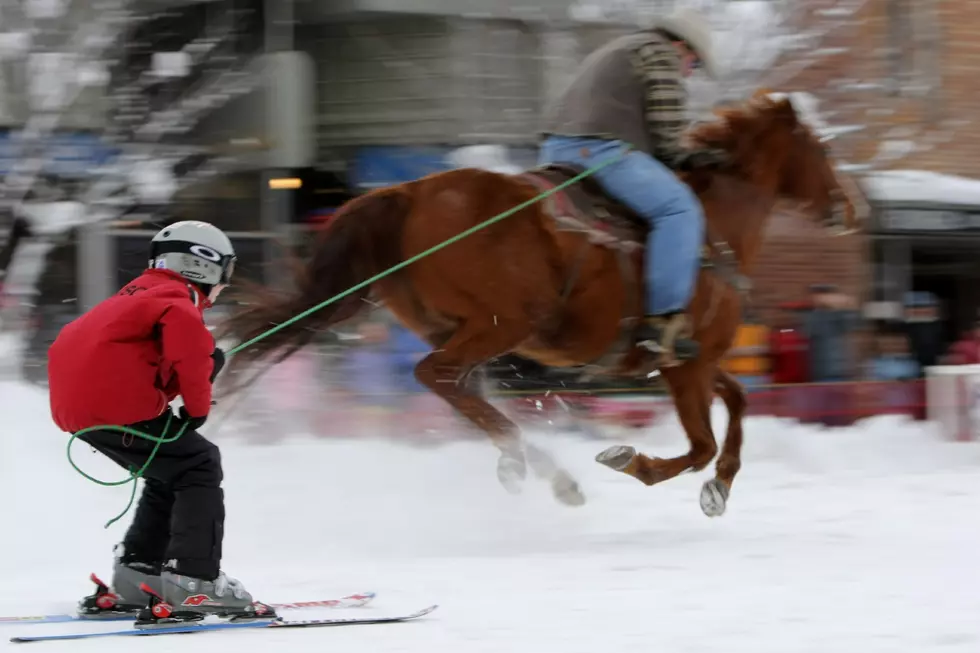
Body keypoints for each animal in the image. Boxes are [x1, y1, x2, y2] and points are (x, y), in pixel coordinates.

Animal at [216, 90, 856, 516]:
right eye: (819, 148)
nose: (848, 209)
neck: (713, 227)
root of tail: (409, 192)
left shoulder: (694, 359)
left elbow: (740, 401)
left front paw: (721, 485)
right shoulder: (685, 366)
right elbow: (700, 443)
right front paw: (633, 461)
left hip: (456, 326)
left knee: (461, 388)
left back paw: (539, 468)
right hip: (502, 322)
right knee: (439, 377)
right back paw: (538, 467)